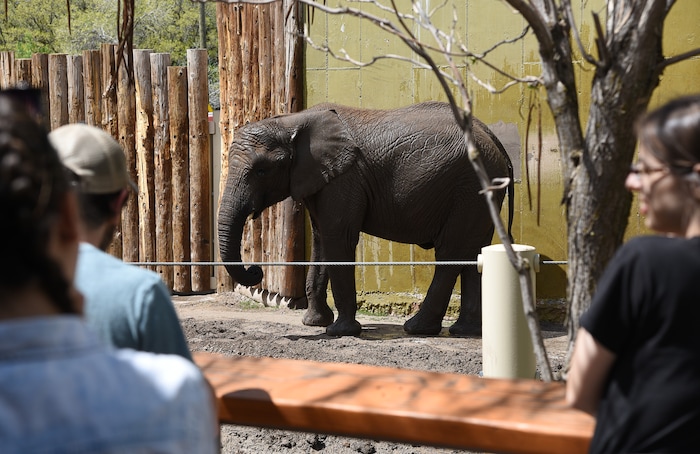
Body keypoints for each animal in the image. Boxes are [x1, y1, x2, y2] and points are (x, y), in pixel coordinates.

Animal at [218, 101, 514, 337]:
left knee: (451, 252)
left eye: (262, 171)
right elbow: (321, 240)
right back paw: (465, 331)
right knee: (473, 250)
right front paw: (313, 323)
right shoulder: (321, 180)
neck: (291, 120)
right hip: (479, 193)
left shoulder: (344, 179)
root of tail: (494, 140)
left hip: (469, 188)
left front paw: (339, 331)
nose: (256, 270)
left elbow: (338, 239)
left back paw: (417, 328)